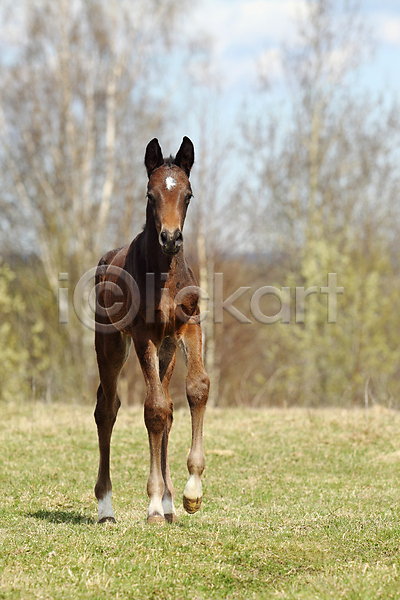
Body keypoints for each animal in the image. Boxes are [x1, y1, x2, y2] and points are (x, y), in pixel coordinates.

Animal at [93, 138, 209, 524]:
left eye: (188, 194)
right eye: (150, 194)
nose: (170, 238)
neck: (165, 276)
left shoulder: (188, 326)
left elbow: (196, 389)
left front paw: (190, 494)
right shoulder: (144, 335)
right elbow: (153, 409)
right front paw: (155, 504)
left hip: (167, 347)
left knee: (170, 410)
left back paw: (172, 503)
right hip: (111, 345)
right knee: (106, 409)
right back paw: (105, 507)